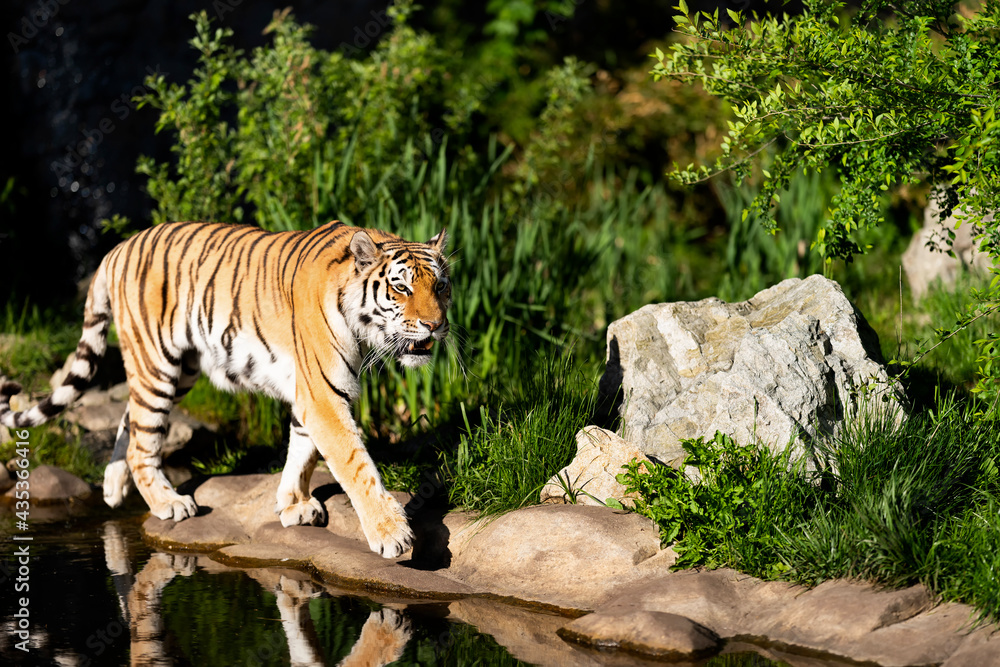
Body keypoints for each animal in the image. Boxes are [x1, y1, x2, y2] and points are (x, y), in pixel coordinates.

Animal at [0, 222, 450, 560]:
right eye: (402, 288)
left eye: (442, 287)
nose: (435, 325)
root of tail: (118, 248)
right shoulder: (322, 393)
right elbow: (354, 463)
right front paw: (390, 533)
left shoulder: (312, 391)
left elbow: (302, 450)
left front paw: (293, 504)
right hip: (157, 363)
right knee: (142, 443)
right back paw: (168, 503)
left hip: (180, 370)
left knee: (130, 418)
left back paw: (113, 487)